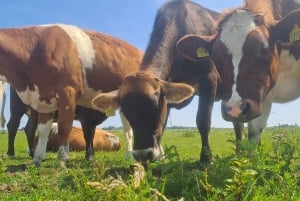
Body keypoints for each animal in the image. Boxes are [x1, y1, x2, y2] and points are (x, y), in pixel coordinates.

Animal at [0, 24, 143, 166]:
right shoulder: (45, 97)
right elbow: (43, 129)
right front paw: (38, 158)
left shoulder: (67, 93)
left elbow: (66, 127)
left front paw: (63, 158)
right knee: (20, 127)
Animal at [92, 0, 221, 165]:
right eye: (125, 111)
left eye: (155, 106)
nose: (142, 155)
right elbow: (163, 125)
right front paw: (160, 157)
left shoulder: (210, 79)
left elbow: (203, 121)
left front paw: (206, 159)